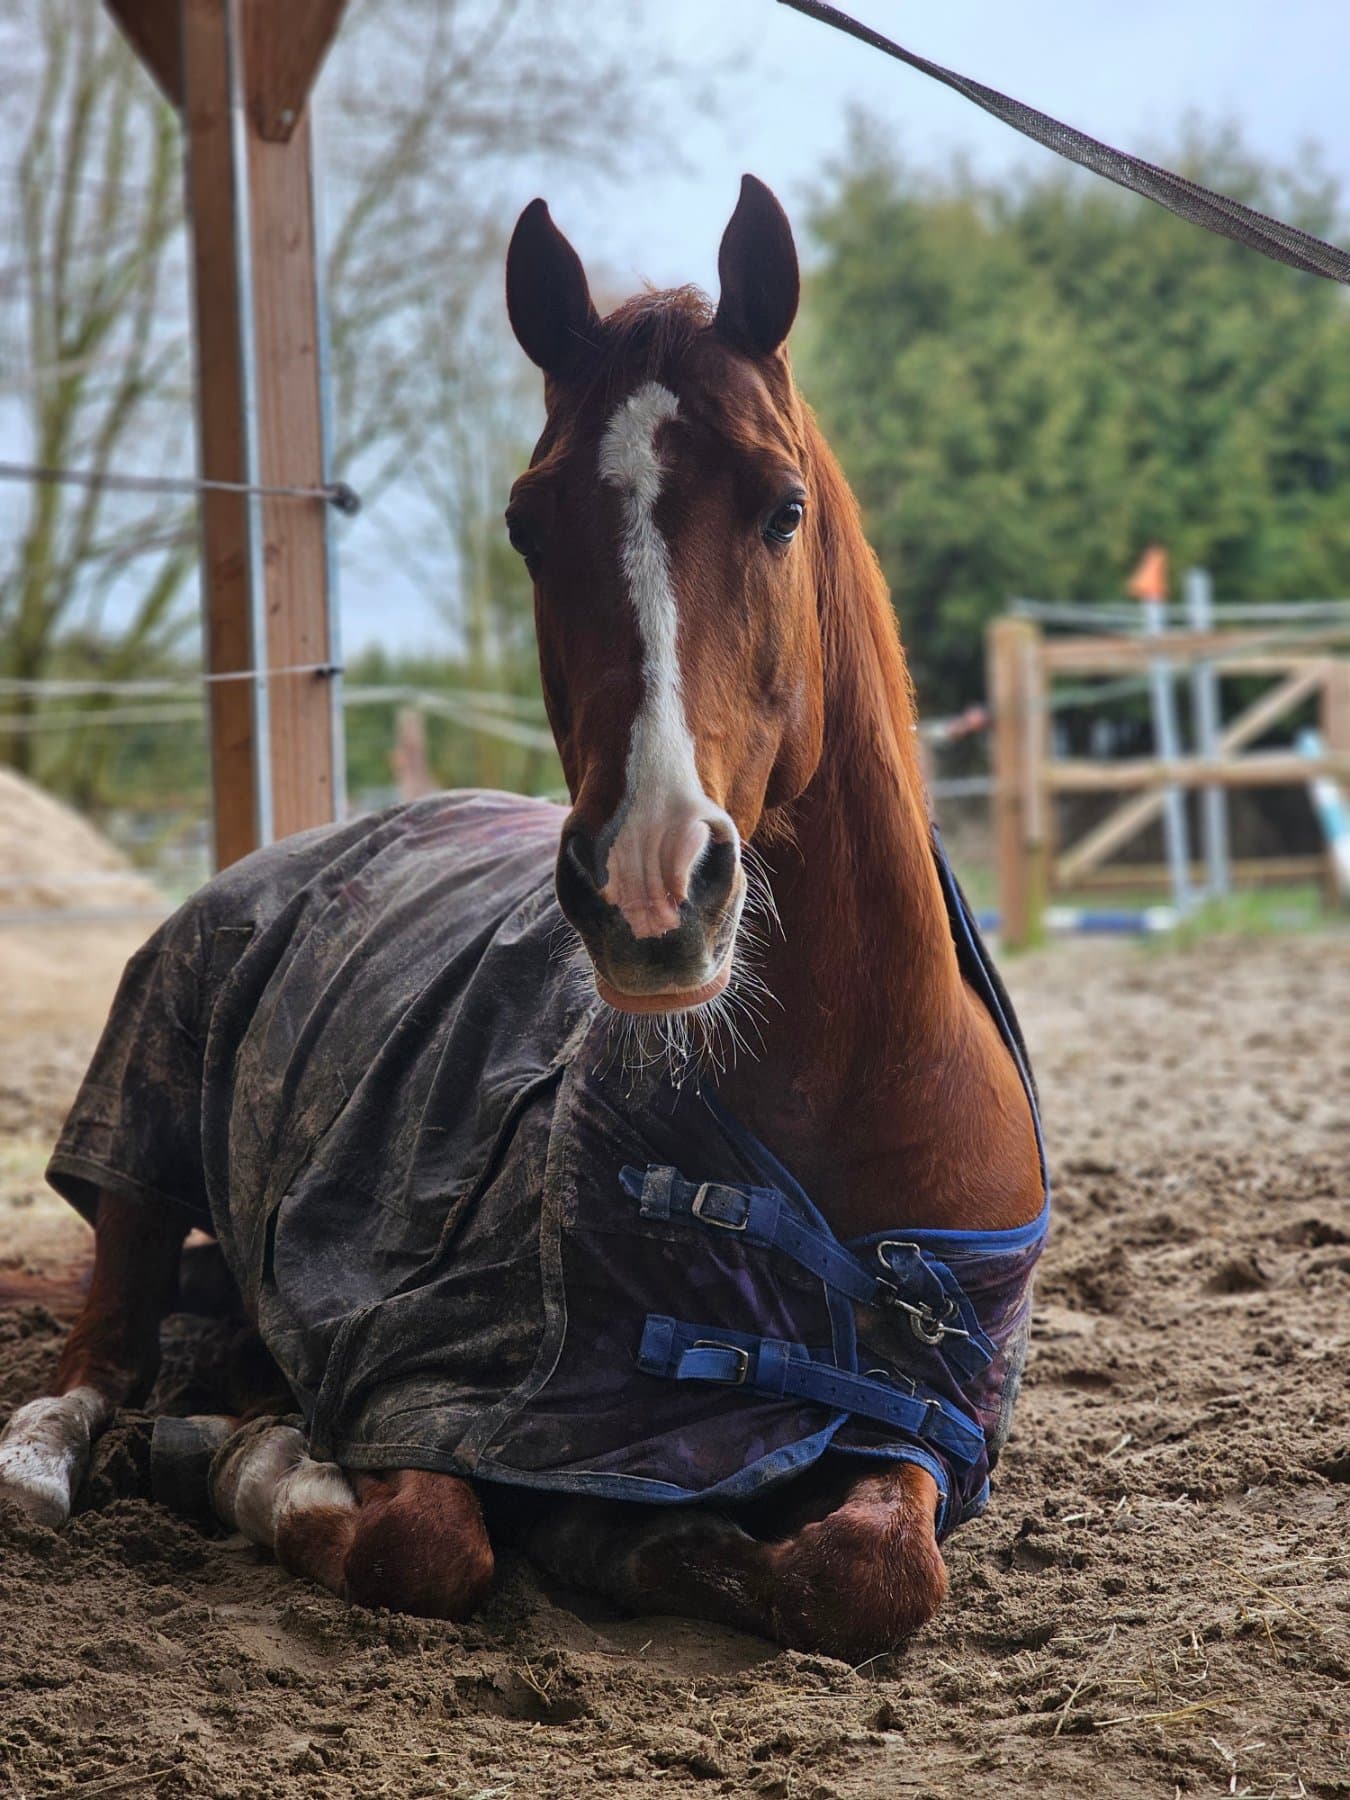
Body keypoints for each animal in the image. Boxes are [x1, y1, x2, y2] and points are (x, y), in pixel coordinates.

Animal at [0, 177, 1047, 1660]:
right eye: (525, 525)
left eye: (782, 509)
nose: (650, 883)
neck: (847, 1088)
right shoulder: (423, 1377)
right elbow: (424, 1544)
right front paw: (251, 1457)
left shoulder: (917, 1423)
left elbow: (870, 1574)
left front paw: (638, 1544)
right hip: (138, 1146)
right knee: (99, 1352)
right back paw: (71, 1452)